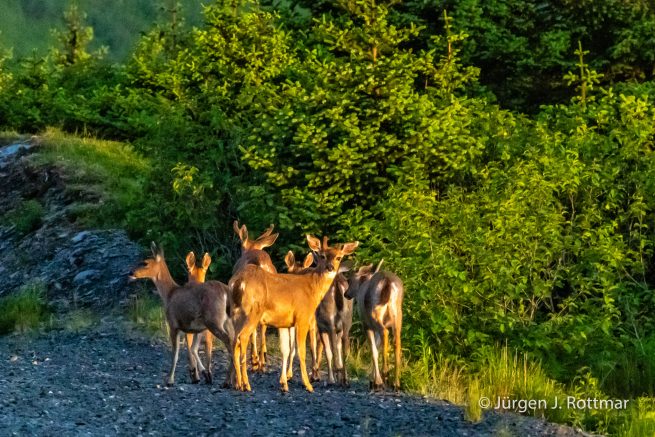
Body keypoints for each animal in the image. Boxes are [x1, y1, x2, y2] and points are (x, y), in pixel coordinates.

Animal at [129, 242, 234, 387]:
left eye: (145, 263)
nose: (131, 273)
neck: (169, 294)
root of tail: (225, 291)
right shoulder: (197, 328)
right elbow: (193, 349)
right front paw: (203, 374)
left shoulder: (173, 324)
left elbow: (176, 354)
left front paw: (169, 380)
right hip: (226, 320)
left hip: (214, 320)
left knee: (229, 341)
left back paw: (227, 381)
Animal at [345, 261, 403, 390]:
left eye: (349, 280)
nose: (346, 294)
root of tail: (387, 282)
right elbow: (377, 347)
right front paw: (373, 379)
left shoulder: (366, 324)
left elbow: (373, 350)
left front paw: (376, 382)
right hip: (397, 316)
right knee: (397, 342)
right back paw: (396, 383)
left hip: (374, 313)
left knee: (385, 333)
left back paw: (385, 373)